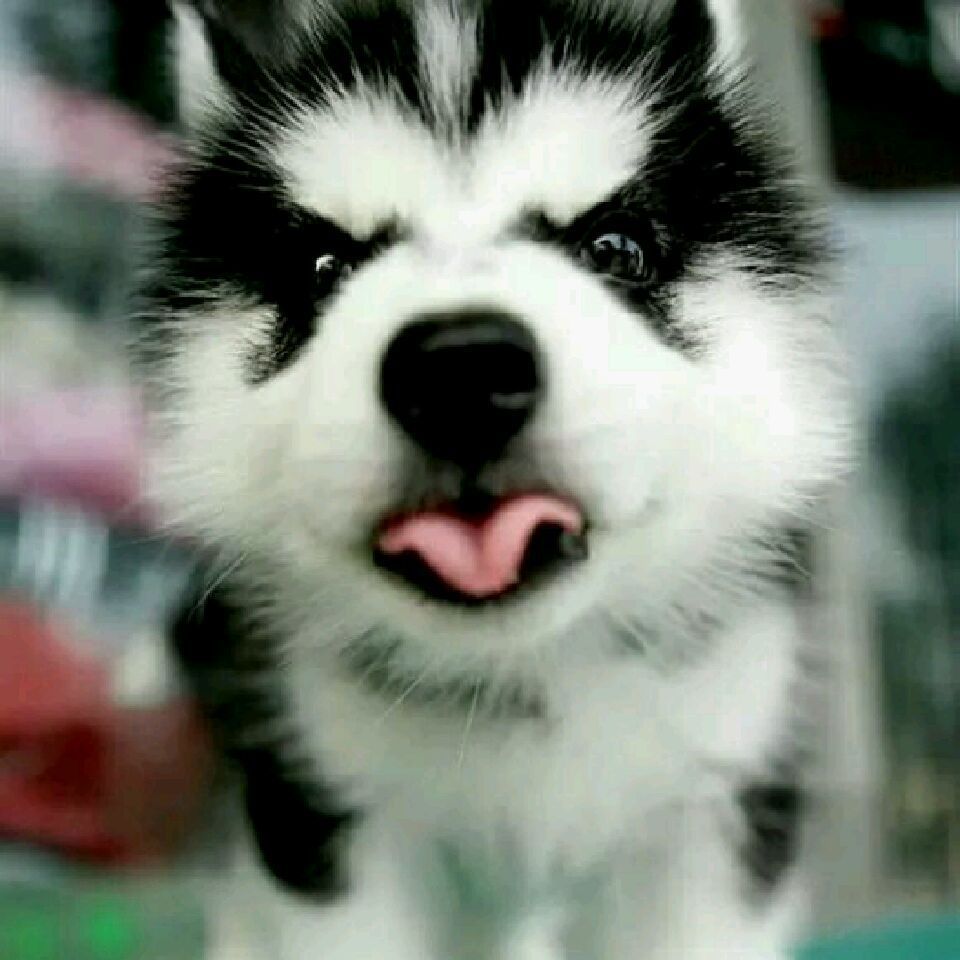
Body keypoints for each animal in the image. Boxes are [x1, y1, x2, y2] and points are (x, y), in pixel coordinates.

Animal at [132, 1, 851, 956]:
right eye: (323, 269)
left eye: (615, 248)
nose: (461, 372)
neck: (525, 672)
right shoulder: (324, 806)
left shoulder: (719, 788)